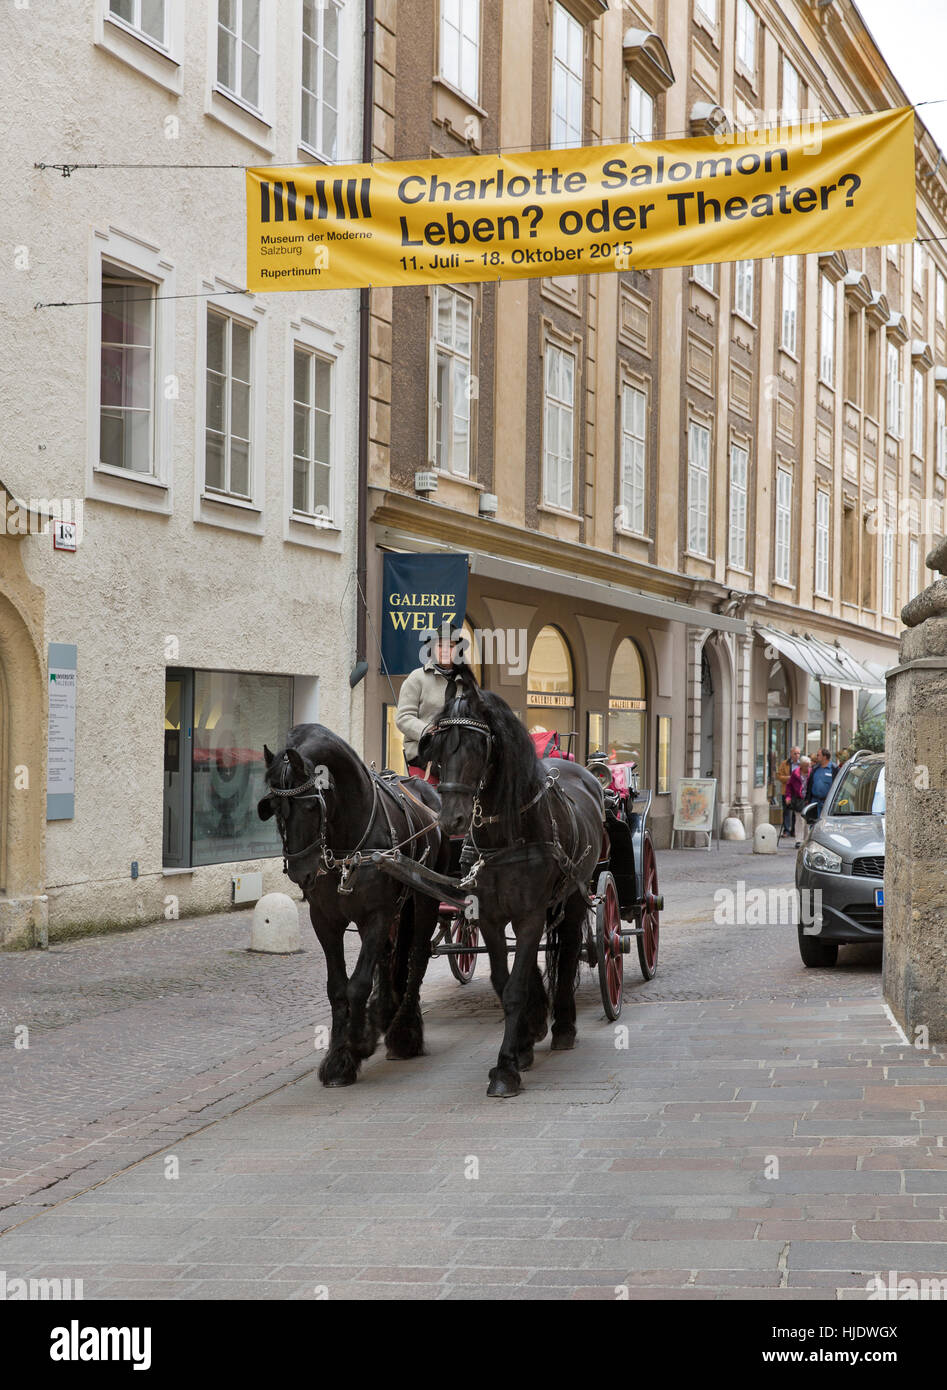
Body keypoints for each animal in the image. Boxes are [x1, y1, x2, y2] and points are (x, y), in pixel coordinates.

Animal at [257, 722, 447, 1089]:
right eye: (274, 808)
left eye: (311, 807)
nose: (300, 871)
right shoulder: (325, 919)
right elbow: (337, 987)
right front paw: (338, 1056)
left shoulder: (377, 915)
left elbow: (358, 983)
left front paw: (355, 1044)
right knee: (389, 957)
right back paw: (384, 1012)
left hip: (425, 899)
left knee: (416, 958)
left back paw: (404, 1033)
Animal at [419, 672, 606, 1095]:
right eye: (436, 746)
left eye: (477, 745)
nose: (451, 819)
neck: (508, 832)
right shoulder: (489, 917)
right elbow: (504, 982)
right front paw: (520, 1046)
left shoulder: (529, 915)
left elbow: (518, 988)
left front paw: (505, 1068)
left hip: (574, 896)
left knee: (569, 951)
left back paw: (564, 1026)